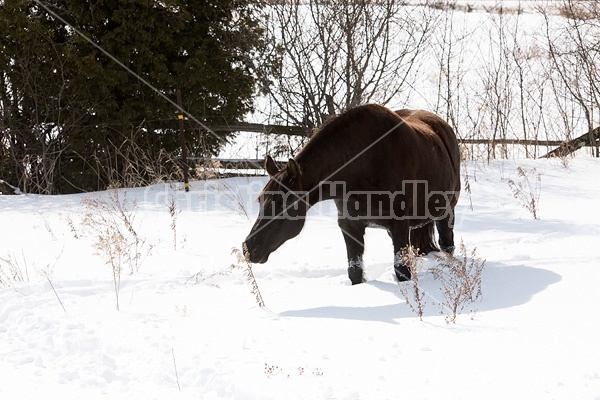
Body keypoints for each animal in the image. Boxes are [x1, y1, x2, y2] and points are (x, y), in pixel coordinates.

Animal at [241, 104, 462, 284]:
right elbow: (355, 272)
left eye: (285, 204)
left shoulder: (399, 226)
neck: (366, 162)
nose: (249, 248)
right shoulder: (350, 226)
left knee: (447, 245)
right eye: (261, 200)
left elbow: (402, 271)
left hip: (447, 211)